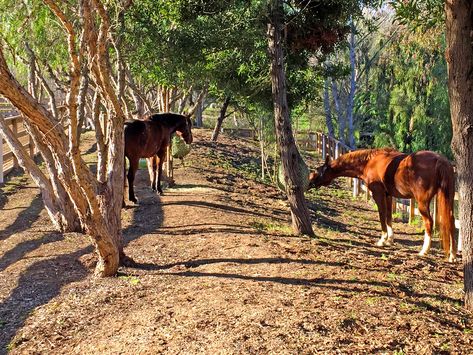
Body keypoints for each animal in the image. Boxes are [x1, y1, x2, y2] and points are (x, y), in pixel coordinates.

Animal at [308, 149, 456, 262]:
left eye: (318, 170)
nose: (309, 183)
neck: (370, 162)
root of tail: (440, 160)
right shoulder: (388, 195)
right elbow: (389, 217)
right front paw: (390, 239)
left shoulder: (378, 194)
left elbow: (382, 216)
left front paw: (382, 240)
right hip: (448, 199)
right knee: (451, 221)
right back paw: (452, 255)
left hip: (422, 202)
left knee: (429, 222)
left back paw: (424, 250)